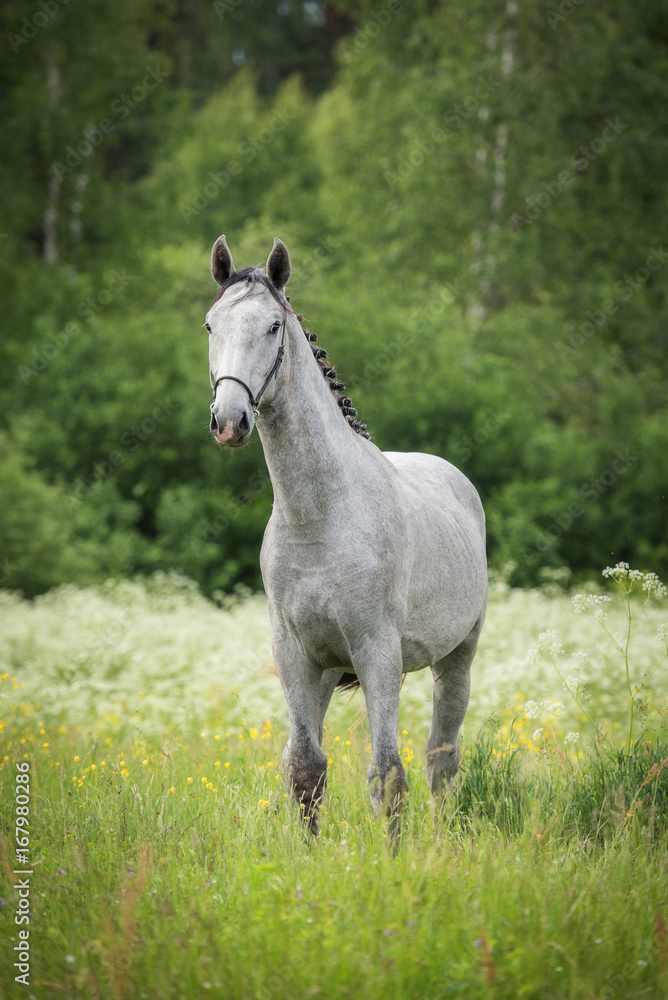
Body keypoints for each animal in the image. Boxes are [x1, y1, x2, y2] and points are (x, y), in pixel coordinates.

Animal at [205, 235, 487, 836]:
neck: (320, 520)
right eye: (210, 325)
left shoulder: (377, 652)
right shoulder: (296, 656)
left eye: (273, 327)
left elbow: (388, 775)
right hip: (328, 672)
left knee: (442, 760)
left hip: (457, 660)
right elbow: (305, 769)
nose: (229, 421)